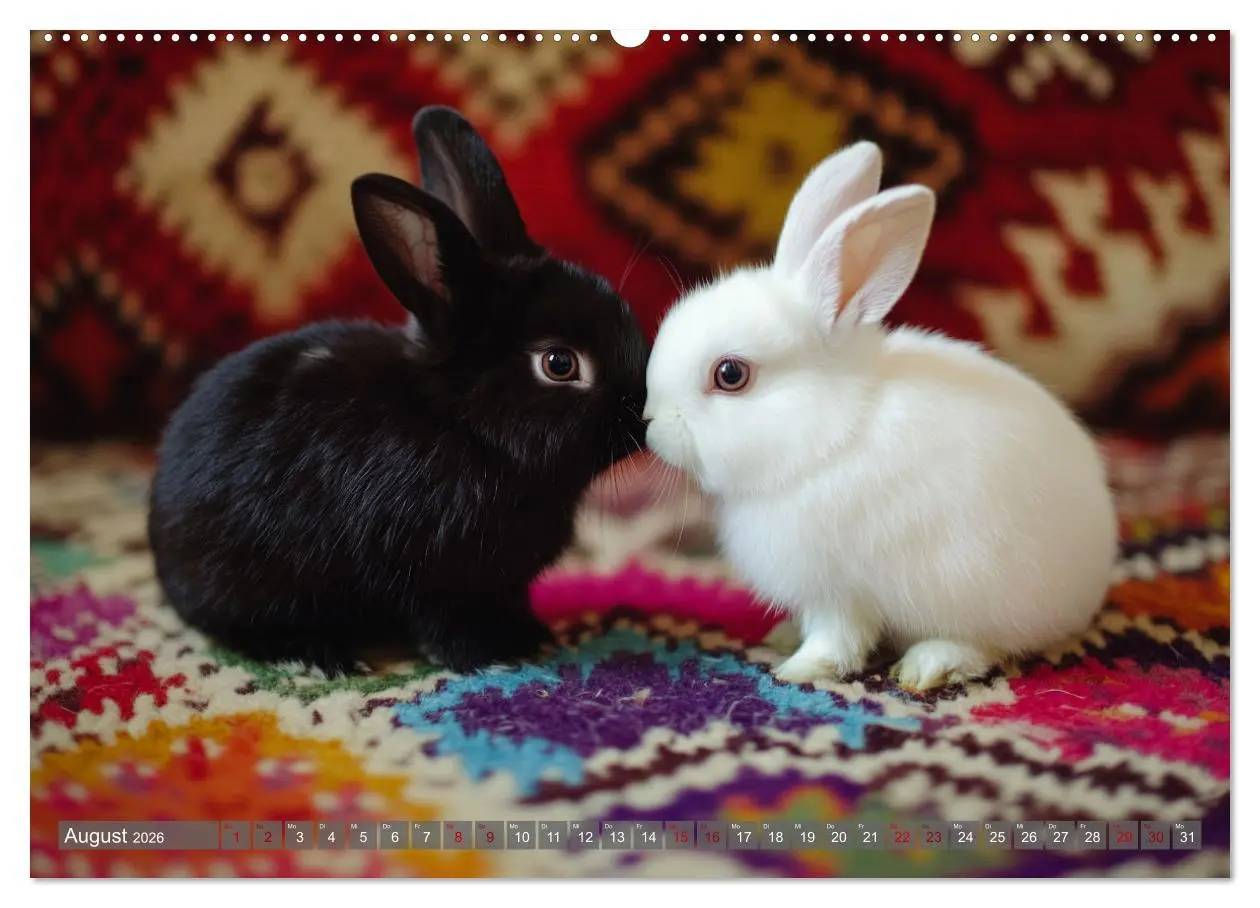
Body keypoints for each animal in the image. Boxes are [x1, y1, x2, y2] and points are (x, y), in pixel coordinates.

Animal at [147, 107, 650, 678]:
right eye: (559, 364)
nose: (644, 413)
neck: (464, 426)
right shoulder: (437, 576)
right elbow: (446, 626)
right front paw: (494, 657)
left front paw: (532, 635)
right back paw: (322, 655)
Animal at [642, 141, 1118, 691]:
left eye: (731, 374)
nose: (650, 423)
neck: (829, 441)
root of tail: (1089, 581)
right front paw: (784, 640)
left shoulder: (838, 589)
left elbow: (837, 639)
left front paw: (798, 669)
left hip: (975, 588)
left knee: (984, 646)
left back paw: (927, 666)